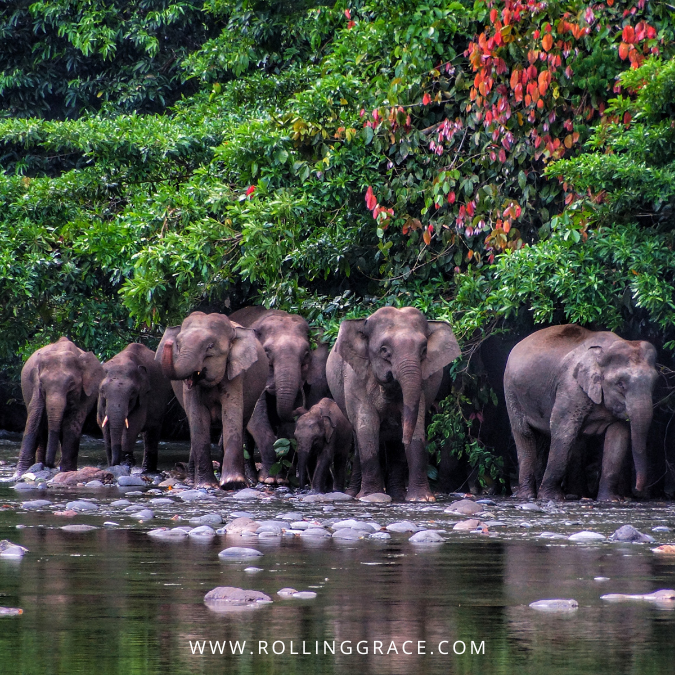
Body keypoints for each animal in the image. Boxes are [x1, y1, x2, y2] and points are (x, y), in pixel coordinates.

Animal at [15, 336, 104, 476]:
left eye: (71, 384)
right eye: (42, 384)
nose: (51, 464)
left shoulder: (84, 394)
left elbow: (72, 424)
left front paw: (67, 472)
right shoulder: (36, 387)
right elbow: (34, 418)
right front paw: (19, 474)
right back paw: (39, 465)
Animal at [156, 308, 266, 488]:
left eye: (210, 347)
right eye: (178, 345)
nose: (169, 343)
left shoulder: (235, 373)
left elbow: (232, 413)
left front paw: (232, 483)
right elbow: (198, 418)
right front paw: (206, 485)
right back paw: (190, 481)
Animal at [228, 308, 328, 484]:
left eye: (306, 353)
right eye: (267, 352)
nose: (303, 409)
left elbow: (287, 427)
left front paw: (281, 479)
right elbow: (256, 418)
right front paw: (269, 479)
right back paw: (251, 478)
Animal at [326, 306, 460, 502]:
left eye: (424, 349)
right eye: (384, 350)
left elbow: (416, 426)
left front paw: (421, 499)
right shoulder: (355, 379)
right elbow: (367, 427)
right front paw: (371, 496)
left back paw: (397, 496)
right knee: (358, 438)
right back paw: (353, 495)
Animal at [504, 322, 656, 502]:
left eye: (655, 382)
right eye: (620, 384)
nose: (638, 490)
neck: (602, 351)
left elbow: (618, 437)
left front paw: (610, 499)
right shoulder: (570, 387)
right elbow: (563, 430)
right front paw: (551, 497)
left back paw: (577, 495)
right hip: (511, 392)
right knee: (525, 434)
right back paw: (528, 496)